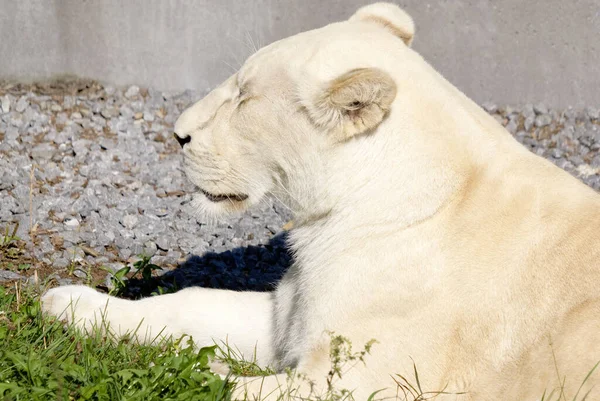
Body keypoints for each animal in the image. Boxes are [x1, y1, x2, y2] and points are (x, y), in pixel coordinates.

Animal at [41, 3, 600, 400]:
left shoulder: (380, 377)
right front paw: (66, 302)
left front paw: (190, 370)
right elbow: (195, 302)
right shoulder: (292, 314)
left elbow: (230, 389)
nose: (178, 134)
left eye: (244, 97)